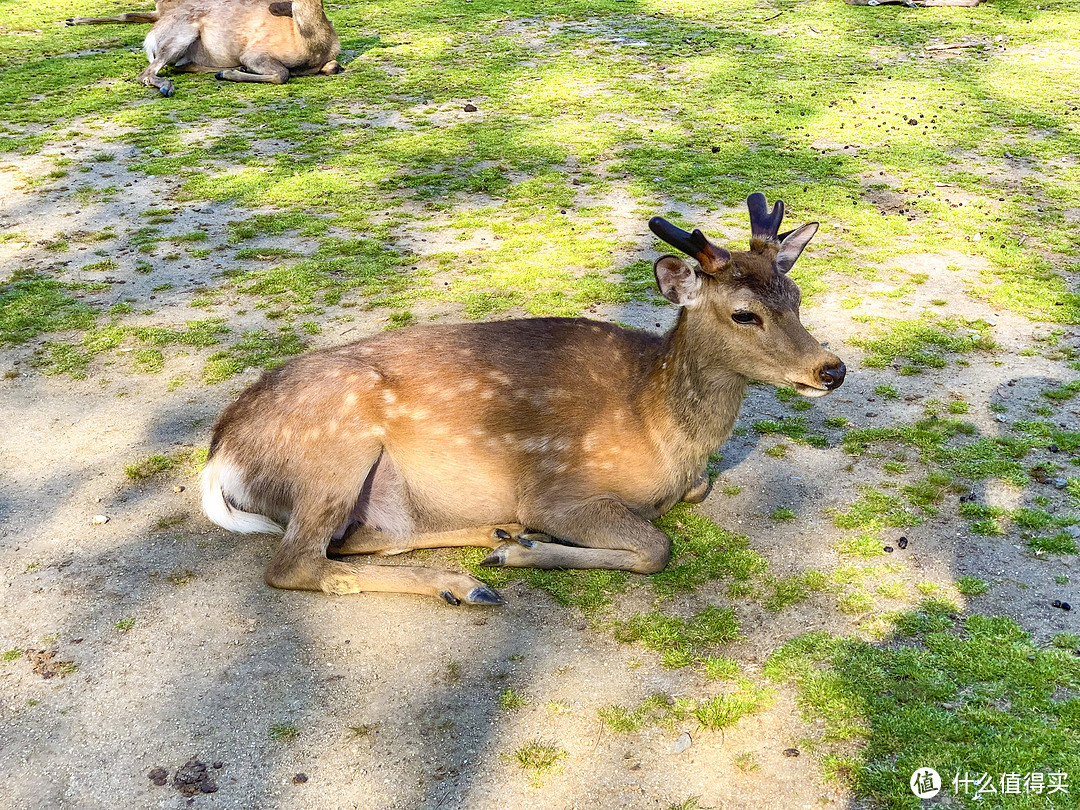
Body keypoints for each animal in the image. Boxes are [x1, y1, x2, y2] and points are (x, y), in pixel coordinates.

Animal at [67, 0, 339, 96]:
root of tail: (150, 37)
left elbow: (334, 66)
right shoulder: (255, 51)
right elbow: (283, 74)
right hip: (179, 36)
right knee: (146, 72)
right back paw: (168, 87)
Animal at [200, 193, 842, 604]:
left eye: (796, 296)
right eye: (744, 314)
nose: (831, 369)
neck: (660, 428)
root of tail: (219, 456)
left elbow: (692, 496)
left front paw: (517, 545)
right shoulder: (560, 490)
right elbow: (657, 547)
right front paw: (529, 551)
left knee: (354, 540)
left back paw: (495, 537)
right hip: (332, 447)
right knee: (294, 563)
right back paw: (468, 580)